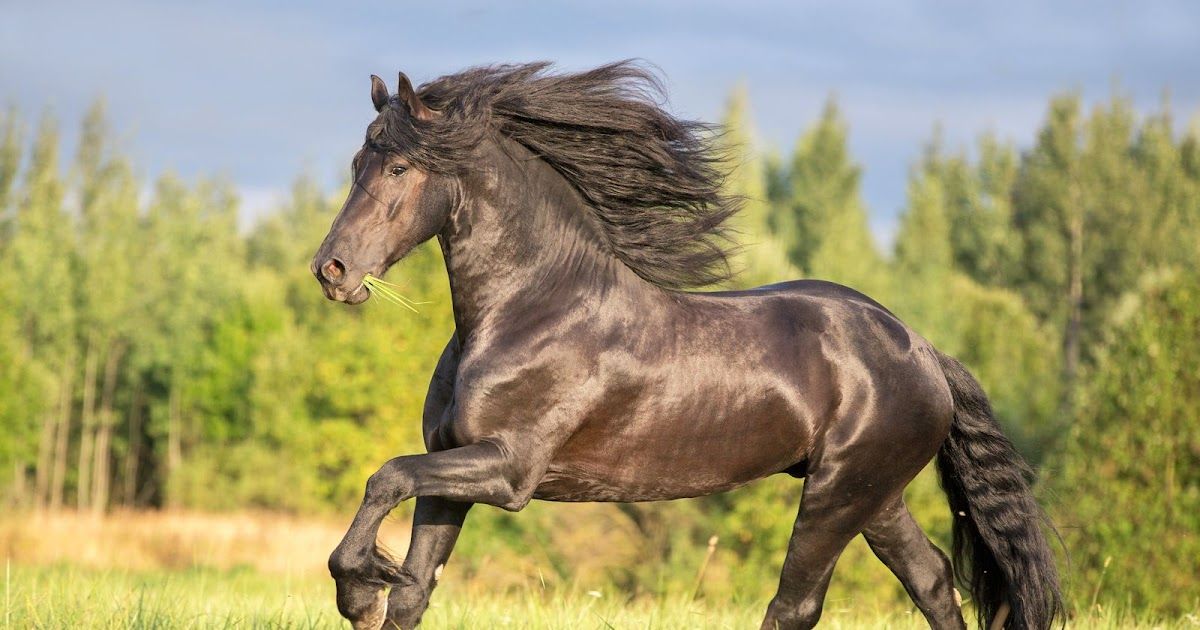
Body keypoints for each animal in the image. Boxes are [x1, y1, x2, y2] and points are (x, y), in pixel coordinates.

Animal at [309, 60, 1060, 628]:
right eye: (357, 161)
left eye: (400, 168)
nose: (331, 271)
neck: (529, 311)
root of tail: (922, 351)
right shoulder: (452, 470)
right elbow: (412, 589)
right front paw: (374, 589)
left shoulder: (508, 469)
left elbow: (385, 476)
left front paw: (358, 589)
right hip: (877, 498)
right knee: (931, 580)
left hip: (838, 494)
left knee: (797, 604)